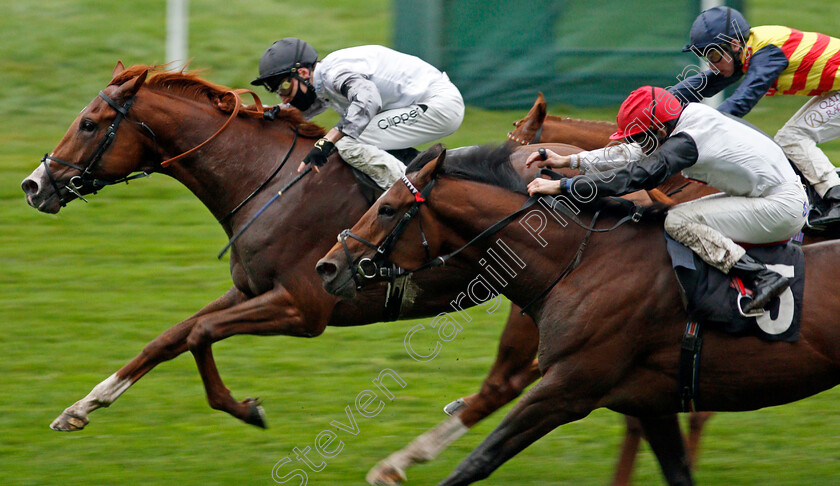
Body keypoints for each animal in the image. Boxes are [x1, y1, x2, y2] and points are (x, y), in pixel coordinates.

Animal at [318, 144, 840, 486]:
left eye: (387, 209)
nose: (328, 267)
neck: (582, 261)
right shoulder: (649, 402)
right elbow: (677, 472)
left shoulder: (568, 388)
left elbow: (477, 462)